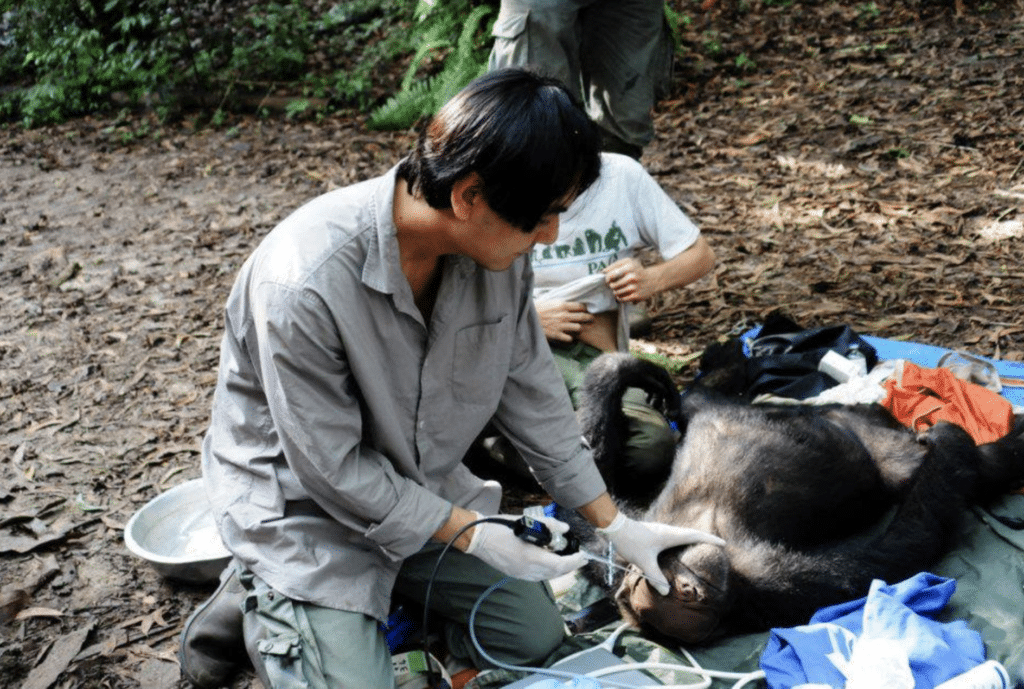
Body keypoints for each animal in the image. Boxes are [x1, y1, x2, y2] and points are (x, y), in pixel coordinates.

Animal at [577, 352, 1024, 642]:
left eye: (673, 587)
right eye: (684, 597)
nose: (696, 588)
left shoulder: (632, 539)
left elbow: (594, 497)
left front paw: (624, 369)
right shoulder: (767, 579)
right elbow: (895, 553)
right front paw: (948, 436)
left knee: (697, 401)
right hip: (886, 448)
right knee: (968, 468)